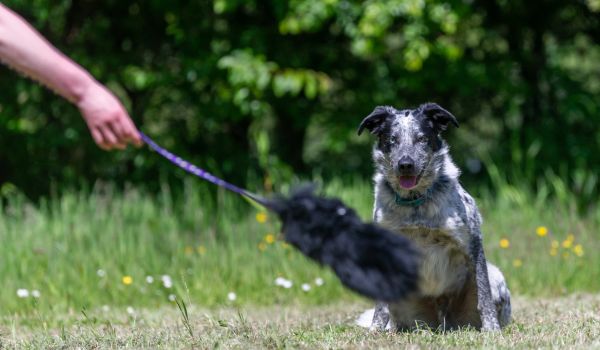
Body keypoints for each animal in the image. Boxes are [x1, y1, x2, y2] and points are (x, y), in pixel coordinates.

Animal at [356, 103, 510, 330]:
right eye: (392, 139)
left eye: (422, 138)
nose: (405, 164)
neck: (415, 203)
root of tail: (441, 321)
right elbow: (381, 307)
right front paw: (376, 330)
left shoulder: (472, 245)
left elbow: (484, 296)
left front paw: (492, 330)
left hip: (495, 275)